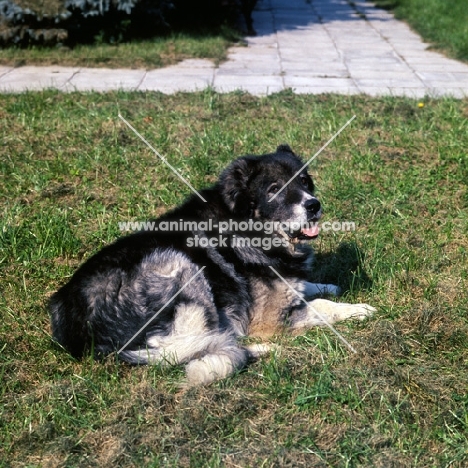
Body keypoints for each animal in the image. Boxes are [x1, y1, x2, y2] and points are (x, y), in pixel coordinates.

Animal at [49, 145, 374, 384]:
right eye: (274, 189)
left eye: (305, 182)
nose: (313, 205)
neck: (248, 225)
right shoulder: (269, 320)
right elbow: (321, 307)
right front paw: (357, 309)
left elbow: (306, 285)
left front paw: (327, 284)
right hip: (181, 268)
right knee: (191, 348)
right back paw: (256, 350)